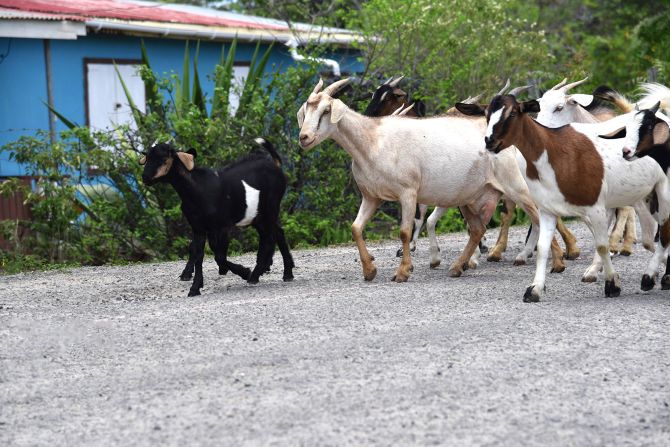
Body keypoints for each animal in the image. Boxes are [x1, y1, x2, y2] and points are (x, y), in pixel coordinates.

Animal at [140, 138, 296, 296]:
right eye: (147, 157)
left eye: (164, 158)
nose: (145, 177)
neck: (197, 189)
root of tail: (275, 165)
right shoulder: (198, 228)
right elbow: (199, 254)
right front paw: (195, 288)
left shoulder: (222, 226)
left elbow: (219, 256)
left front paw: (243, 272)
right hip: (259, 215)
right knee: (276, 234)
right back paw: (282, 273)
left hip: (271, 207)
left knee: (270, 238)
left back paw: (257, 275)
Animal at [460, 96, 670, 302]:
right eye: (486, 114)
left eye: (512, 113)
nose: (490, 141)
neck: (555, 151)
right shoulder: (547, 209)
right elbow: (543, 247)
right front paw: (534, 289)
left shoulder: (595, 207)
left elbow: (602, 245)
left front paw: (612, 284)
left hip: (662, 190)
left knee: (663, 233)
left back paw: (653, 277)